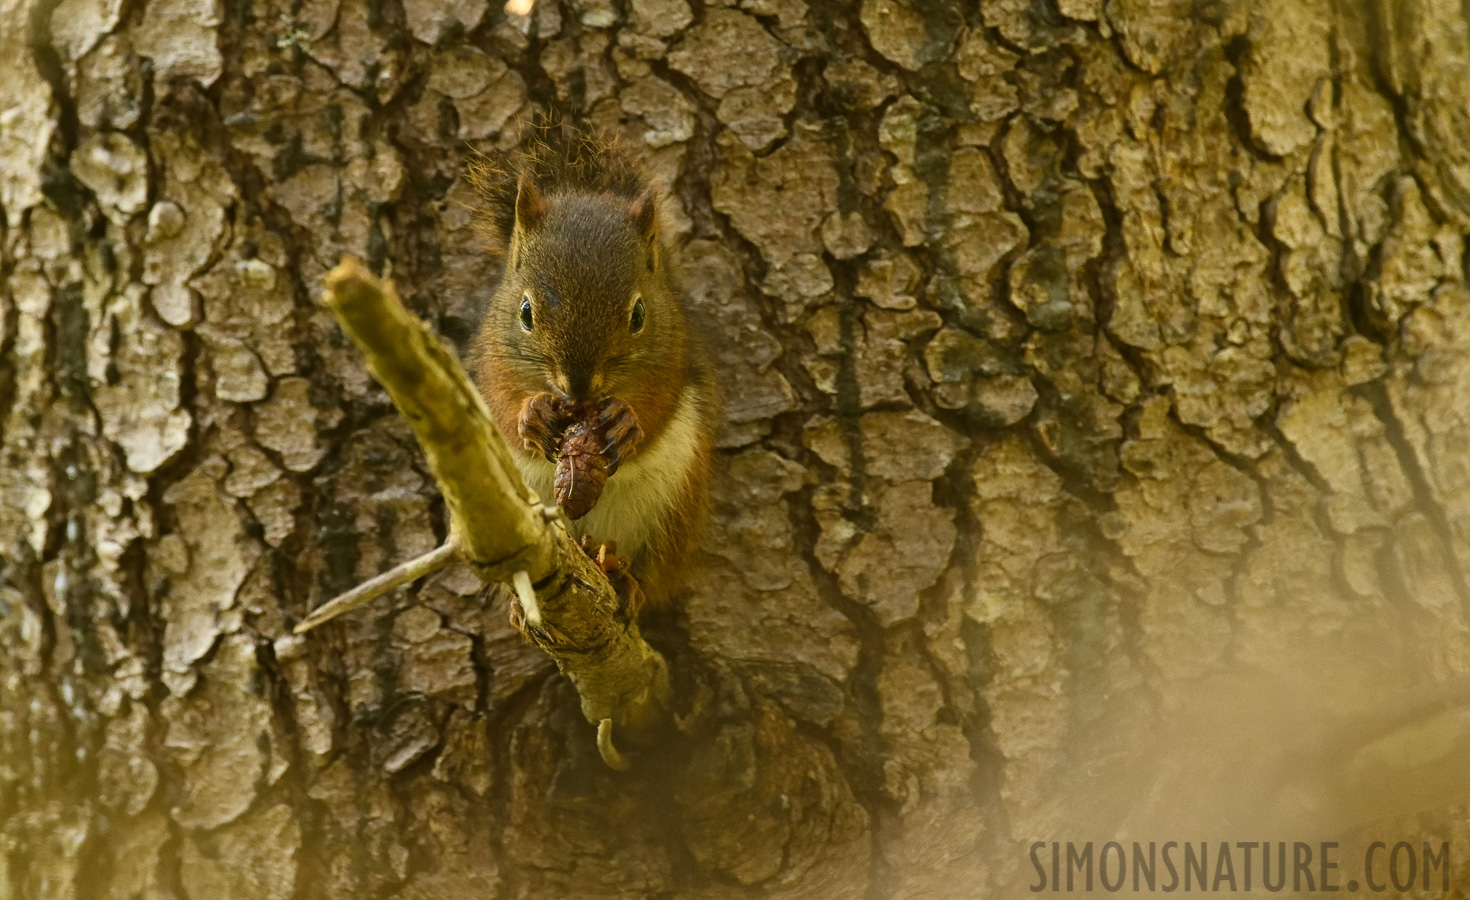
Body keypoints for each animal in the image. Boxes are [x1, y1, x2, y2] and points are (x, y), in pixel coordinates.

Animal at [464, 126, 717, 608]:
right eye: (525, 312)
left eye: (639, 315)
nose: (578, 388)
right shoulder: (490, 362)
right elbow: (503, 409)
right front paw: (531, 416)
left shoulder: (672, 359)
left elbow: (658, 407)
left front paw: (626, 422)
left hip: (671, 512)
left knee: (645, 570)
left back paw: (624, 578)